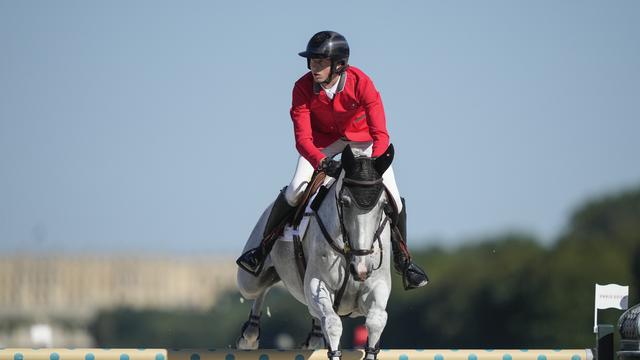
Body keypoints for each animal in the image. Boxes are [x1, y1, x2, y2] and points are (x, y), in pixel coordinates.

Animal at [235, 144, 396, 360]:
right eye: (344, 202)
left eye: (383, 205)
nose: (361, 270)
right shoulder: (317, 284)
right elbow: (333, 324)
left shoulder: (376, 287)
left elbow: (376, 320)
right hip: (250, 280)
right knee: (260, 289)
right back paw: (249, 336)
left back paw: (314, 337)